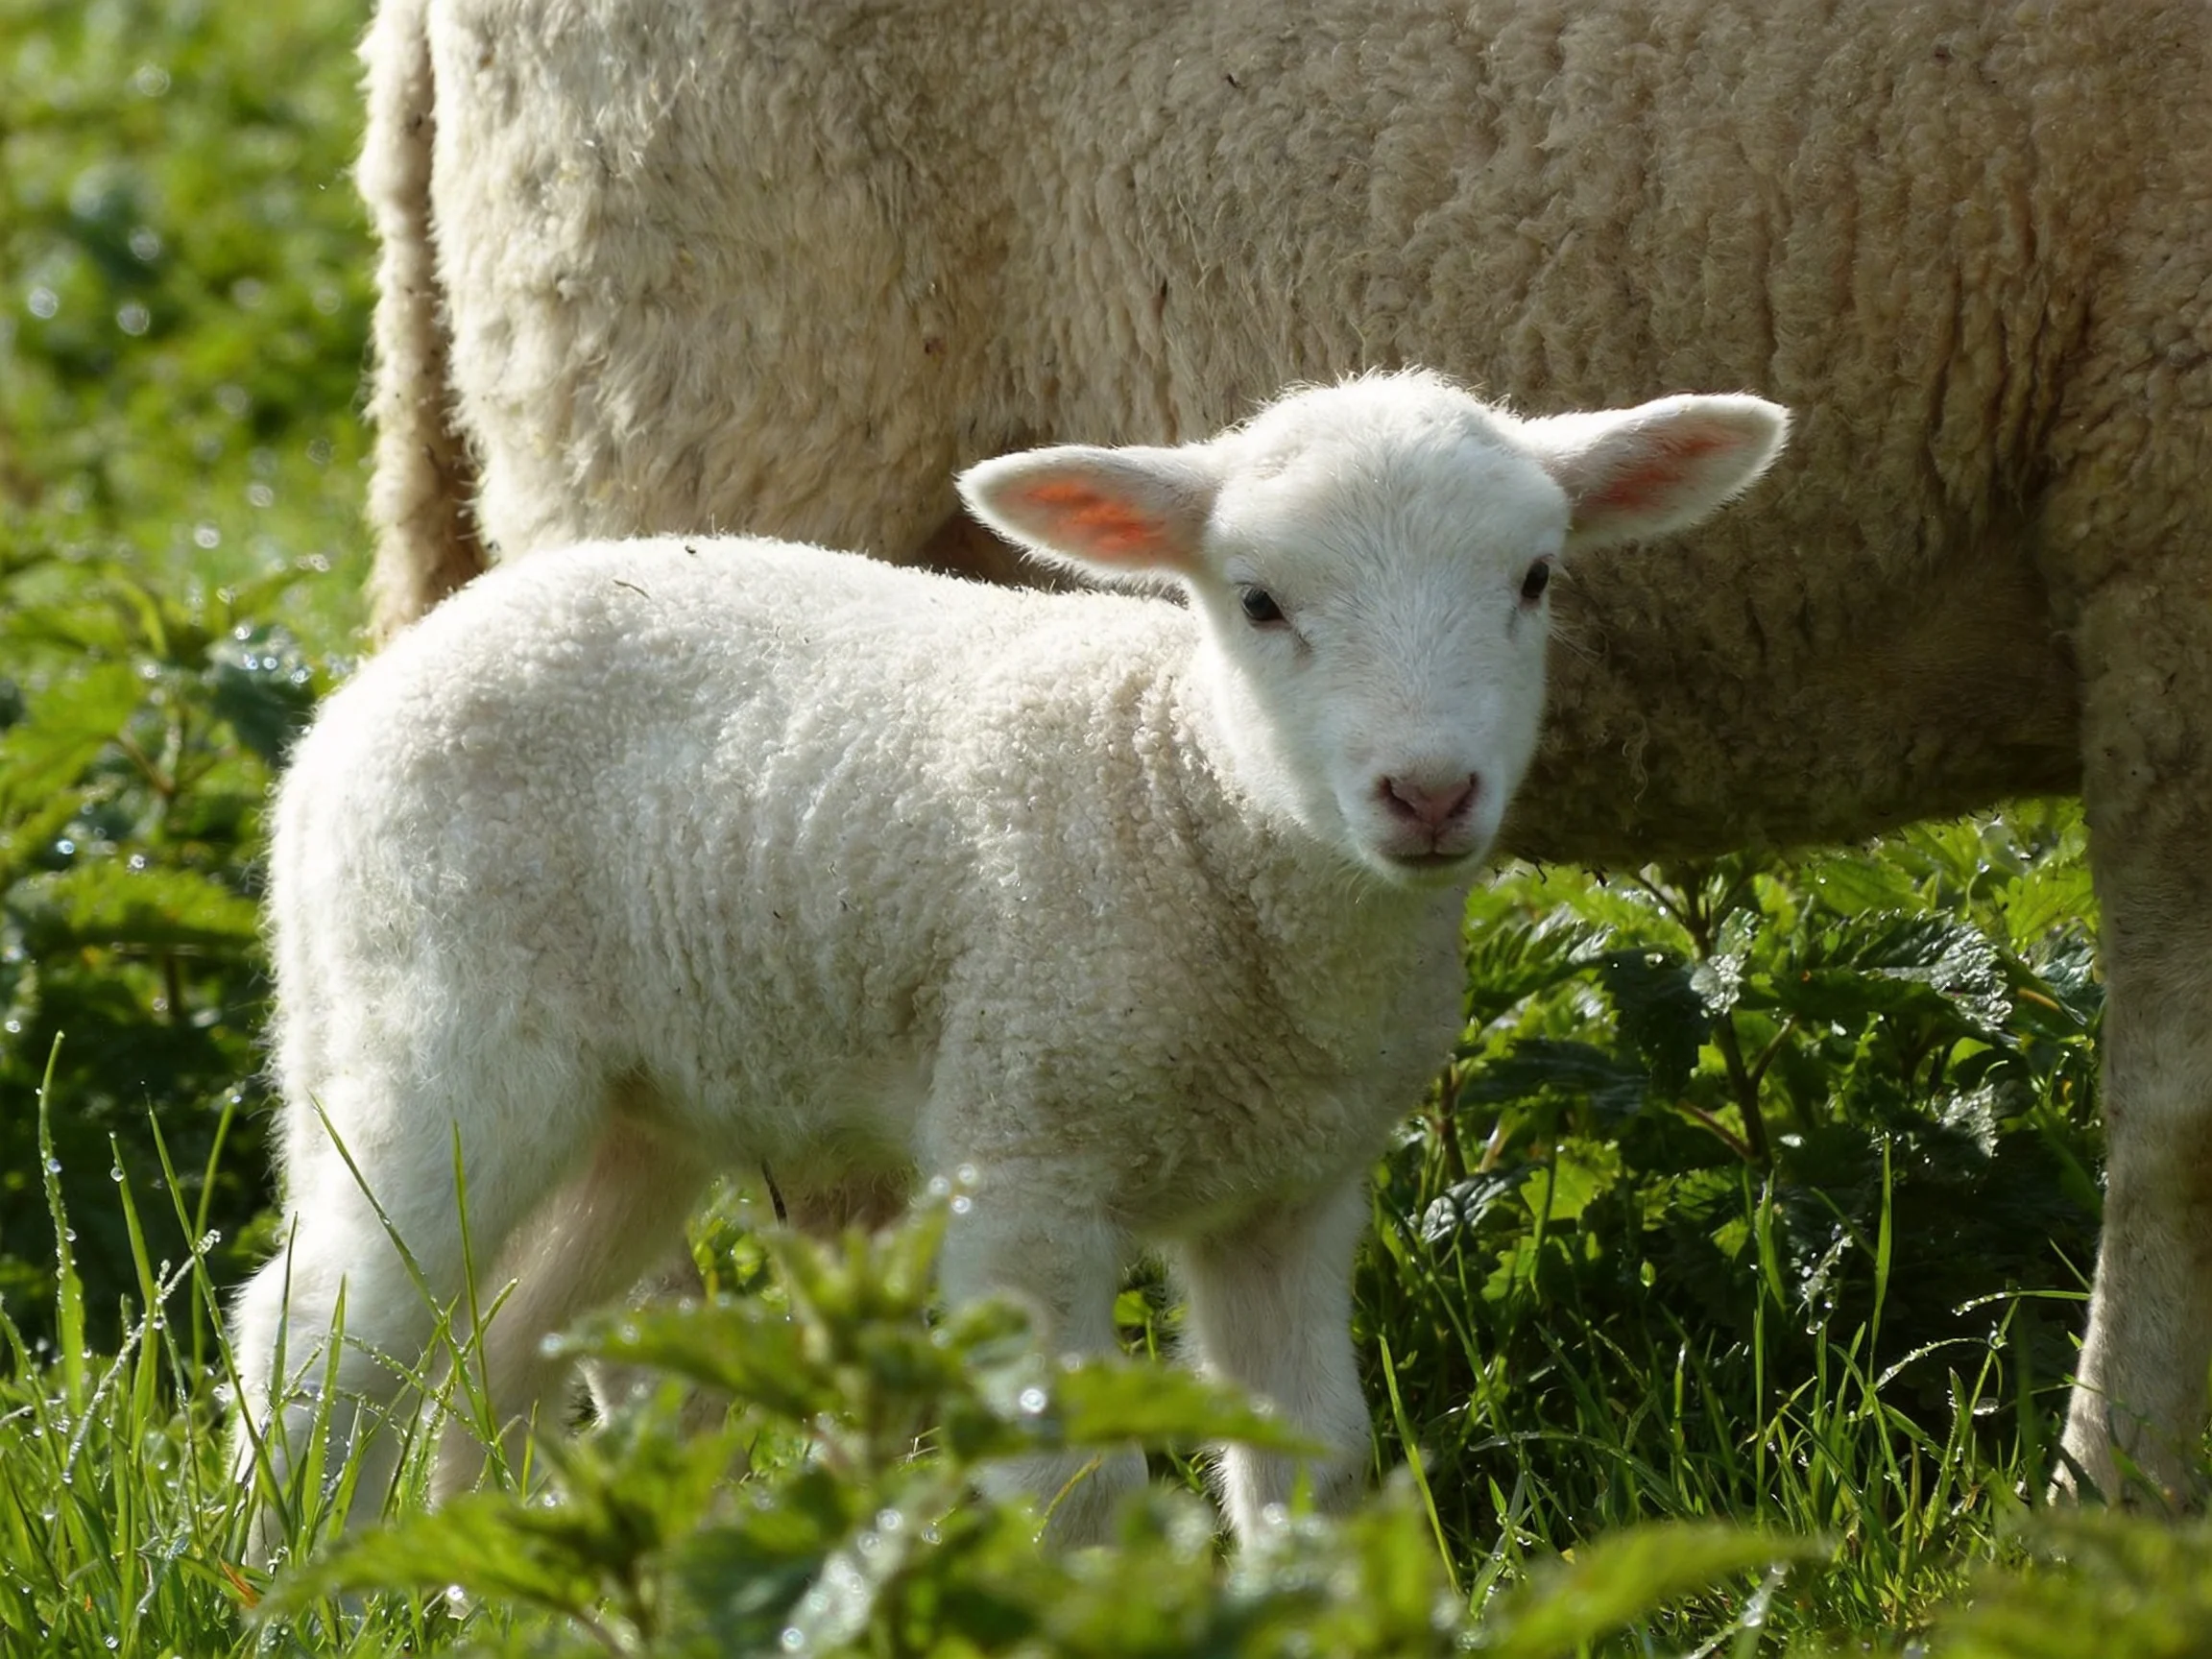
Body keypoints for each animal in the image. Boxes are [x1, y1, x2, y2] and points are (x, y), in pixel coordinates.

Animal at [231, 373, 1787, 1548]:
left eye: (1534, 578)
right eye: (1259, 601)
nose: (1429, 793)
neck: (1184, 795)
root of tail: (352, 713)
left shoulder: (1289, 1193)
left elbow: (1314, 1457)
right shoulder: (1026, 1150)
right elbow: (1080, 1479)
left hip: (633, 1111)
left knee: (504, 1342)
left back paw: (478, 1573)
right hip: (441, 1031)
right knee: (320, 1336)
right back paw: (309, 1580)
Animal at [355, 0, 2212, 1507]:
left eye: (1537, 579)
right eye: (1256, 600)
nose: (1428, 790)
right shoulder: (2161, 493)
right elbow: (2179, 1113)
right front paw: (2108, 1512)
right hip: (711, 392)